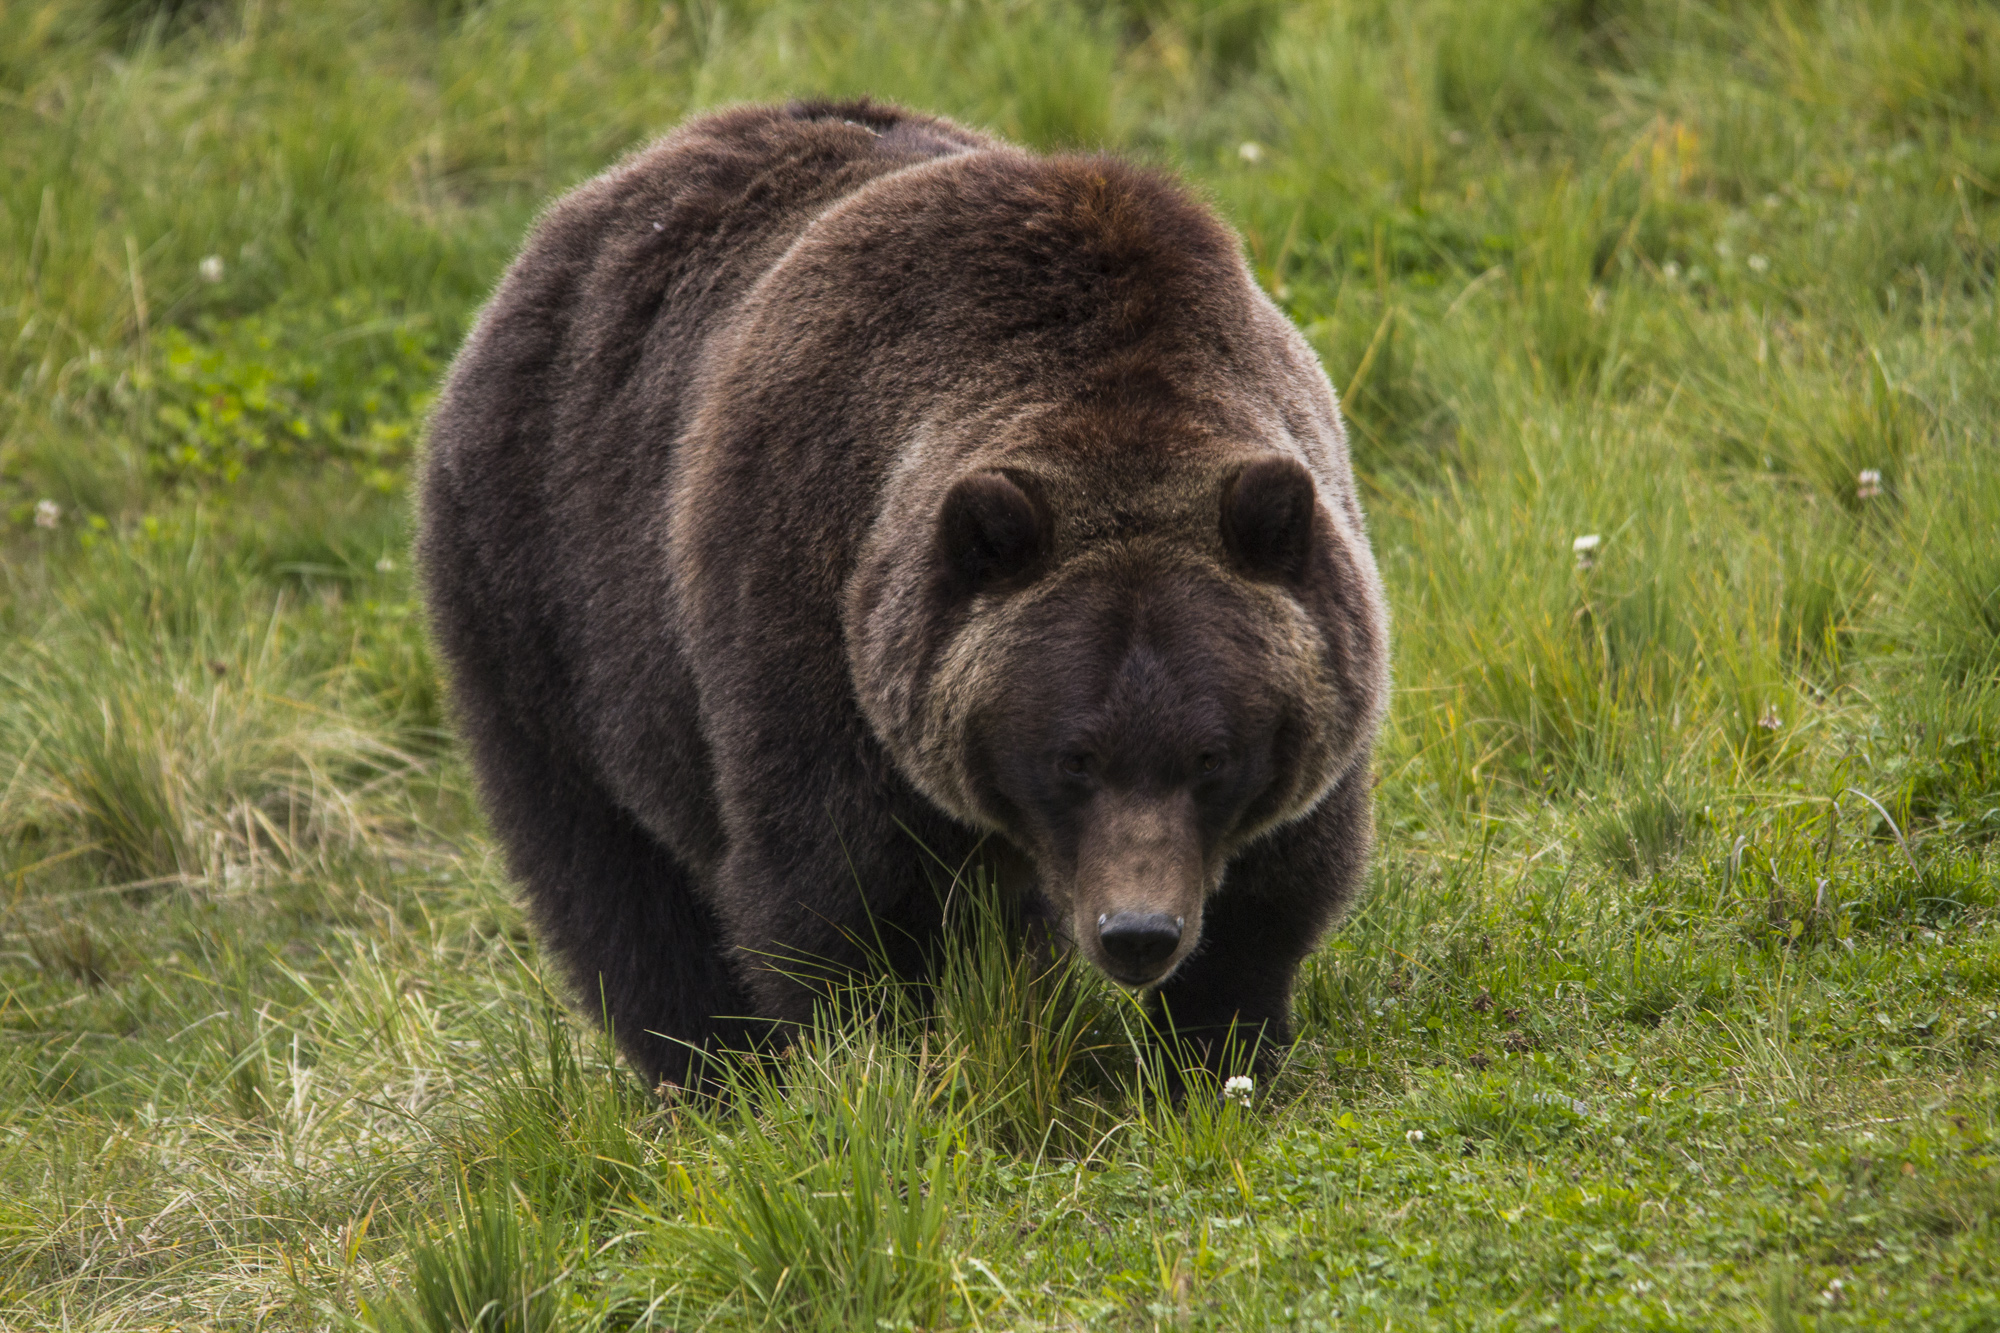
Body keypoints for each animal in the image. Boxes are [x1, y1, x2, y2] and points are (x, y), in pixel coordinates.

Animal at [418, 99, 1390, 1091]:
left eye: (1211, 754)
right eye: (1073, 757)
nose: (1138, 933)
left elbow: (1276, 890)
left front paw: (1215, 1056)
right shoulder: (810, 611)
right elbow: (838, 901)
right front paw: (881, 1063)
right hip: (549, 598)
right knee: (616, 878)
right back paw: (712, 1073)